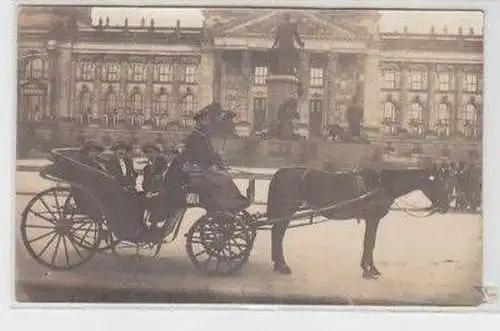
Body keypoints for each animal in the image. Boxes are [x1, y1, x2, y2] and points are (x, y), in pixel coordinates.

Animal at [268, 166, 452, 280]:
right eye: (438, 183)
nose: (446, 206)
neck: (380, 184)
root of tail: (281, 172)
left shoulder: (373, 220)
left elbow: (371, 243)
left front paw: (371, 268)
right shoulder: (372, 219)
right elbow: (369, 242)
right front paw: (367, 270)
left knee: (276, 233)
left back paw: (278, 264)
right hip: (286, 210)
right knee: (278, 233)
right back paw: (282, 265)